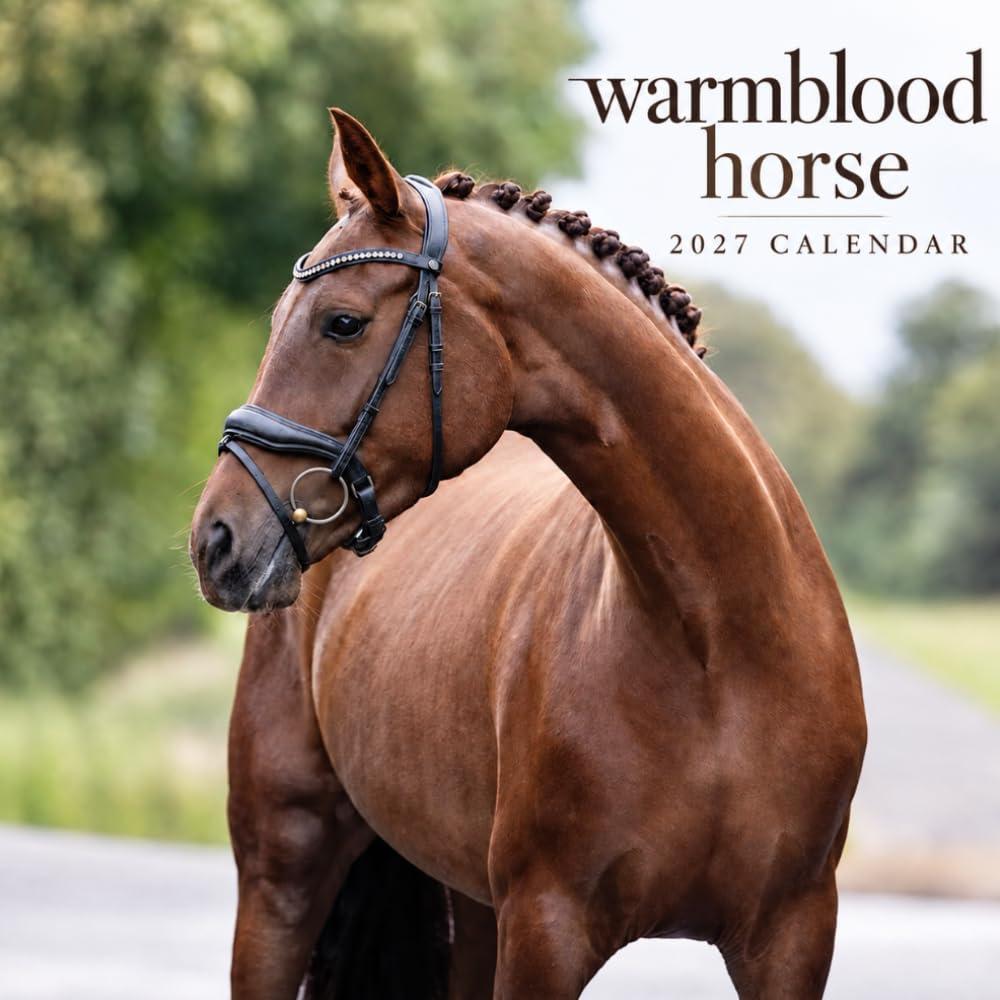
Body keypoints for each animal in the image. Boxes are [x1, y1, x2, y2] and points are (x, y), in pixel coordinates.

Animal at [190, 108, 866, 999]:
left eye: (342, 321)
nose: (216, 539)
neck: (718, 646)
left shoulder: (791, 938)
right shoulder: (548, 928)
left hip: (474, 910)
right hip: (282, 876)